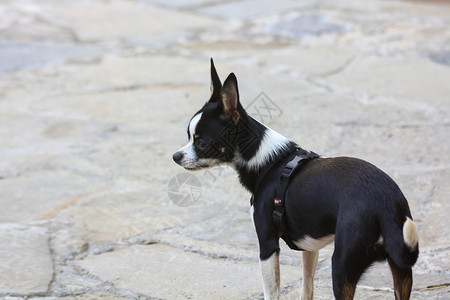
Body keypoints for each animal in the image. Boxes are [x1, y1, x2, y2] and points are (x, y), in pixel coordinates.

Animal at [172, 59, 418, 300]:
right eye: (188, 137)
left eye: (201, 142)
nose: (176, 156)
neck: (268, 162)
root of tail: (384, 205)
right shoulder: (308, 246)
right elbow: (307, 286)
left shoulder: (267, 246)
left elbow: (272, 293)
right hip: (401, 270)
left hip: (341, 267)